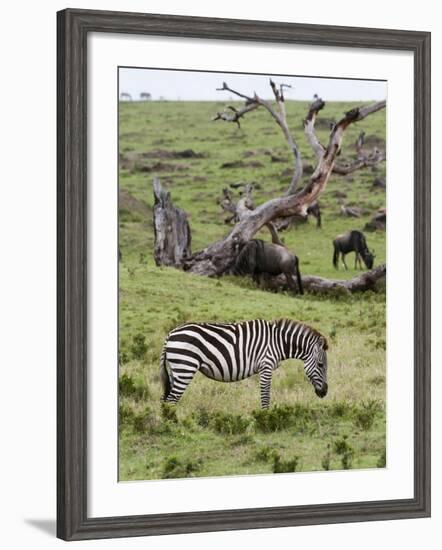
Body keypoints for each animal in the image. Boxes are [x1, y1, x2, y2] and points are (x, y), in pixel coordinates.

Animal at [160, 320, 328, 410]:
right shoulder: (266, 365)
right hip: (185, 368)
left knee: (166, 399)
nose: (325, 392)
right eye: (320, 365)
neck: (278, 342)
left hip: (176, 370)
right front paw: (265, 416)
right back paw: (173, 426)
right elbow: (265, 395)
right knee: (172, 400)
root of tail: (170, 334)